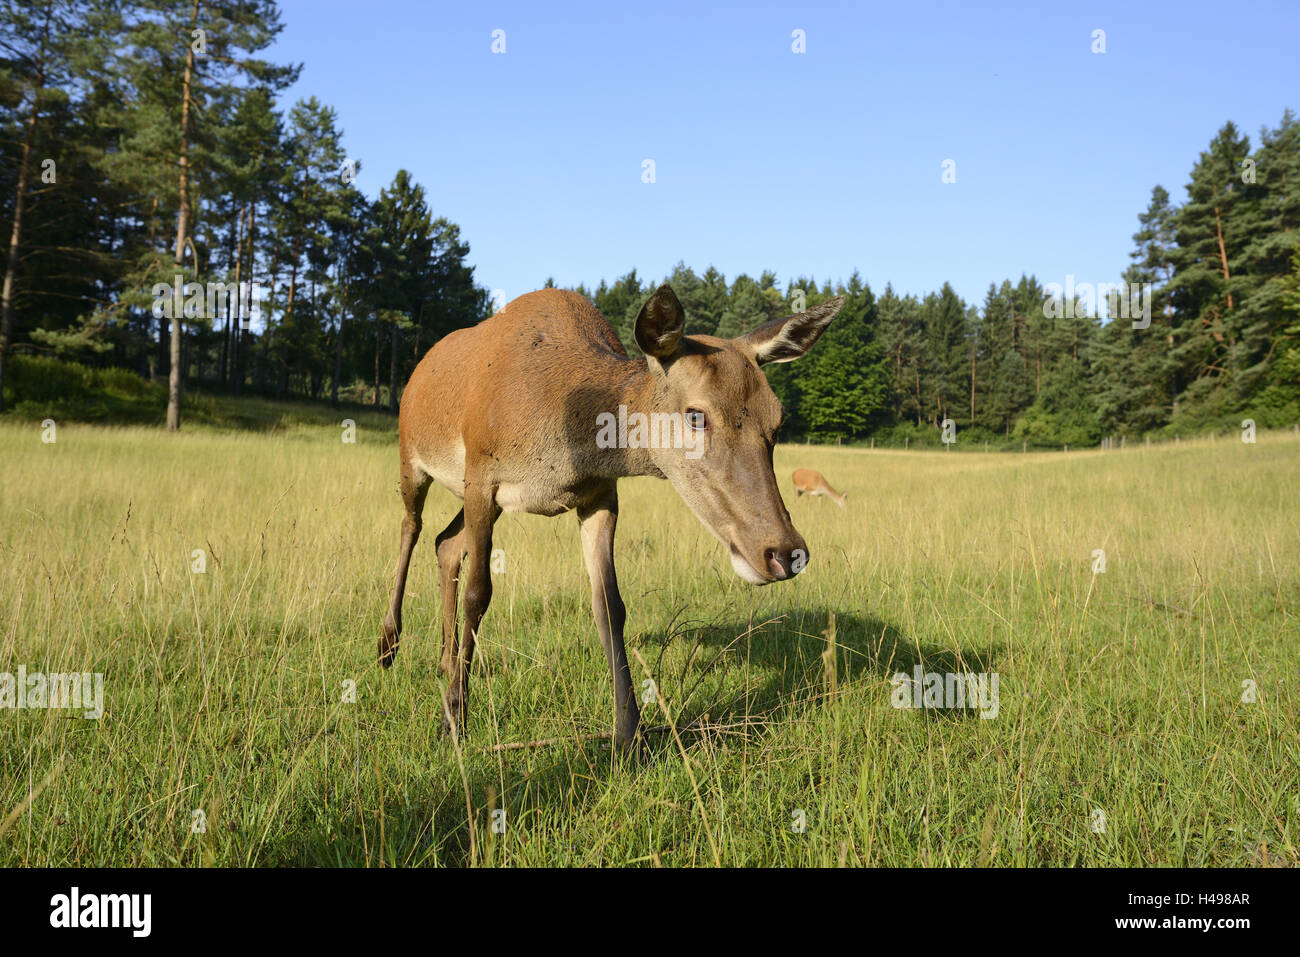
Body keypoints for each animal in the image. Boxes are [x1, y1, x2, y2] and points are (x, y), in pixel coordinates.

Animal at [379, 283, 842, 754]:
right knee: (412, 527)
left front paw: (629, 732)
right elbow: (479, 594)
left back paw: (443, 661)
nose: (785, 552)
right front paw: (454, 719)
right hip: (412, 455)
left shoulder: (599, 495)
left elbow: (610, 605)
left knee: (445, 542)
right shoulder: (481, 476)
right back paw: (389, 643)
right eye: (697, 414)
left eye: (778, 420)